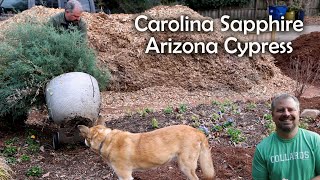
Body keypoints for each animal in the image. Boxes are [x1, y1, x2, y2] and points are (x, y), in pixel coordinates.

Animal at [78, 124, 215, 179]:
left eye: (85, 137)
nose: (83, 142)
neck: (106, 139)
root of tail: (196, 131)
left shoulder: (125, 176)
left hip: (186, 167)